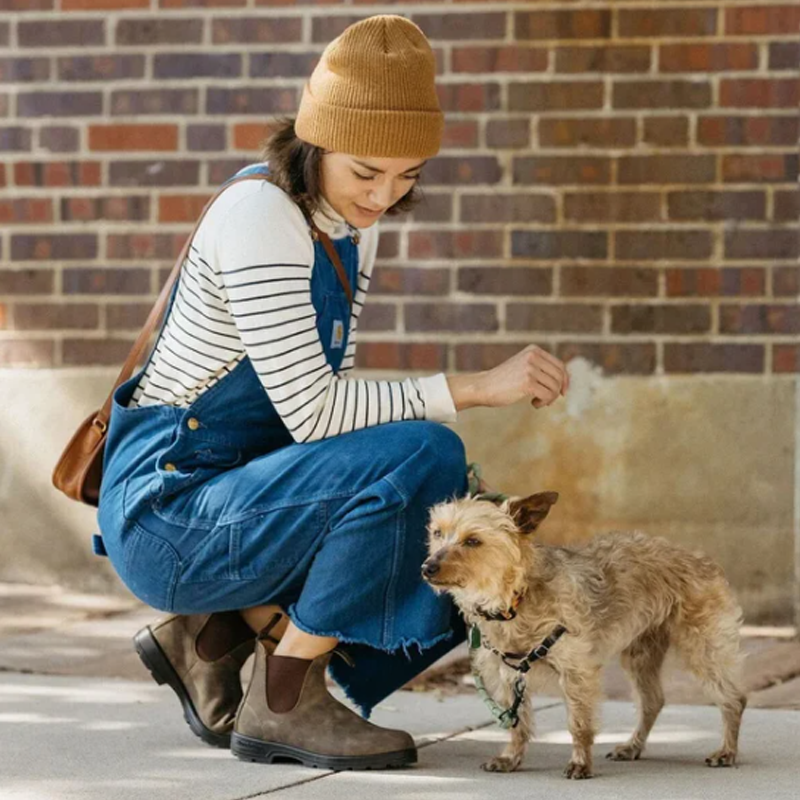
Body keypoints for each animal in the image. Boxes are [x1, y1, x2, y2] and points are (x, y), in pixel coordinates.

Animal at [422, 490, 748, 780]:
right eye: (438, 533)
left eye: (473, 541)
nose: (427, 567)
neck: (514, 599)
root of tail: (700, 559)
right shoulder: (508, 675)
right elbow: (516, 722)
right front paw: (510, 758)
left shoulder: (576, 672)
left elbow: (578, 723)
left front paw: (580, 763)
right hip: (641, 655)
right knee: (652, 702)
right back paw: (633, 746)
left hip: (702, 648)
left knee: (734, 699)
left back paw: (727, 751)